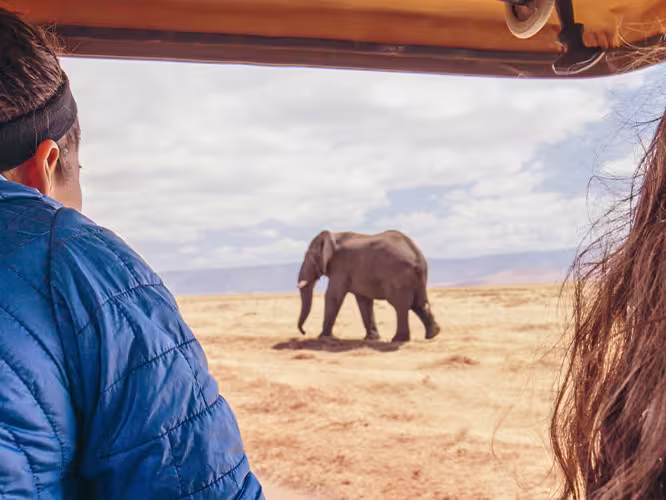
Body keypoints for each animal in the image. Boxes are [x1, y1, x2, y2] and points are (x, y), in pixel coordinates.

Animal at [296, 230, 441, 343]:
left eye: (310, 256)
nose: (304, 332)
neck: (334, 236)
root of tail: (417, 255)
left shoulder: (340, 267)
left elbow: (333, 296)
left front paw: (323, 338)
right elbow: (364, 301)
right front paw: (371, 339)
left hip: (398, 275)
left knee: (401, 306)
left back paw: (398, 339)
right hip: (418, 277)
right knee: (419, 304)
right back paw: (433, 334)